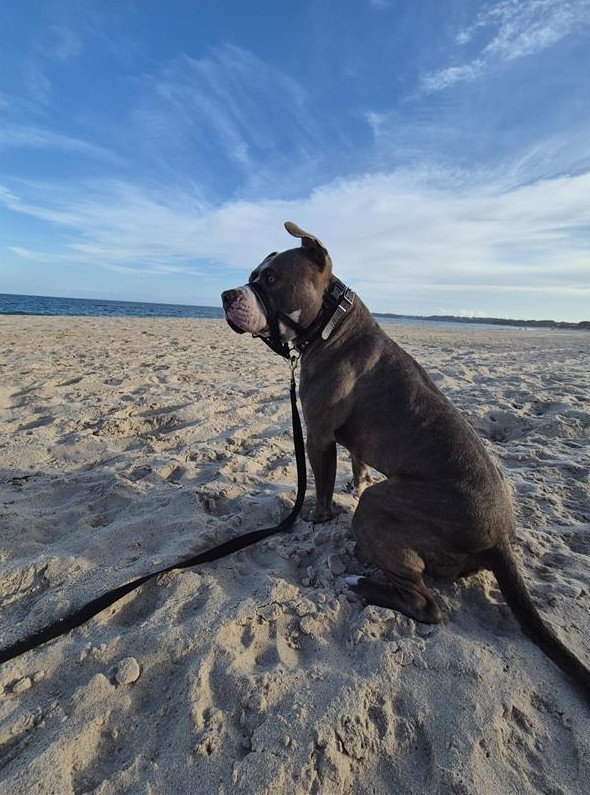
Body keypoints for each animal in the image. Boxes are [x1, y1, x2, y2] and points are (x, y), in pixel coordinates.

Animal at [222, 221, 590, 700]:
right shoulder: (350, 443)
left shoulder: (318, 436)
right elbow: (357, 466)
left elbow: (321, 486)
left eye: (269, 278)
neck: (331, 323)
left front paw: (318, 518)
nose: (226, 295)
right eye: (252, 275)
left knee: (426, 605)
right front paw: (352, 482)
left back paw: (361, 584)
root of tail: (499, 539)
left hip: (380, 507)